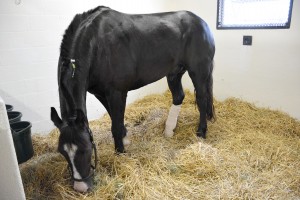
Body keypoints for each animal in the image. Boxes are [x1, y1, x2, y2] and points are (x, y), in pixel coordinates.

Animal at [52, 6, 216, 192]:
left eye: (85, 149)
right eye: (62, 152)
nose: (81, 187)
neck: (97, 43)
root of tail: (201, 22)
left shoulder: (117, 92)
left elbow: (115, 125)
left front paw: (120, 152)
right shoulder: (101, 93)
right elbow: (115, 118)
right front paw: (125, 139)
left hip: (198, 72)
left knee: (202, 100)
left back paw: (201, 132)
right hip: (174, 72)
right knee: (178, 96)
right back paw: (169, 130)